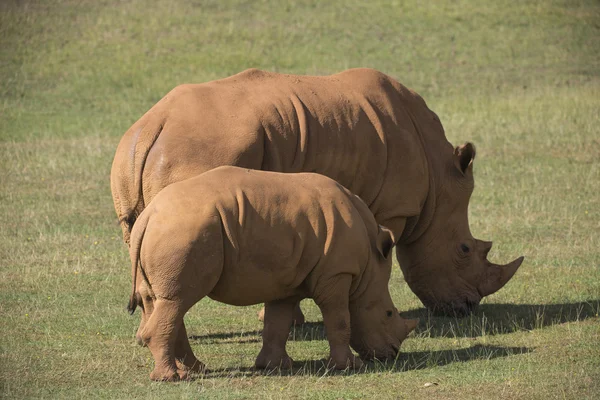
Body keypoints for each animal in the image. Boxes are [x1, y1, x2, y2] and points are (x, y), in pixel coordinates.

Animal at [110, 67, 524, 316]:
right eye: (464, 250)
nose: (467, 308)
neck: (438, 182)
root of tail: (152, 127)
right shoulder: (392, 208)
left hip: (130, 153)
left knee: (138, 240)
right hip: (203, 148)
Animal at [126, 166, 418, 382]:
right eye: (388, 313)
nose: (392, 354)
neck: (369, 266)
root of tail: (149, 214)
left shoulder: (286, 281)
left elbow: (277, 323)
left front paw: (275, 366)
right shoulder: (337, 275)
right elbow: (339, 319)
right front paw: (349, 367)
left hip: (172, 231)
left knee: (163, 301)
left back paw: (194, 369)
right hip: (183, 232)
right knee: (177, 301)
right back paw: (171, 378)